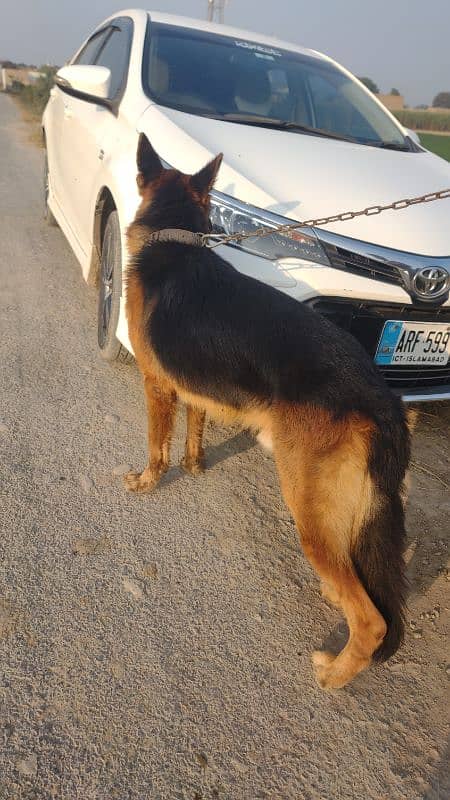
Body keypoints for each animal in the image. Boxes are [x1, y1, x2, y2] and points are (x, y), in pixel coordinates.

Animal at [124, 134, 412, 692]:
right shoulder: (197, 391)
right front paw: (194, 466)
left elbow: (155, 444)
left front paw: (148, 481)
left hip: (306, 507)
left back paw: (335, 675)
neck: (176, 236)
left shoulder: (157, 386)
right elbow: (195, 431)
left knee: (372, 619)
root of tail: (381, 397)